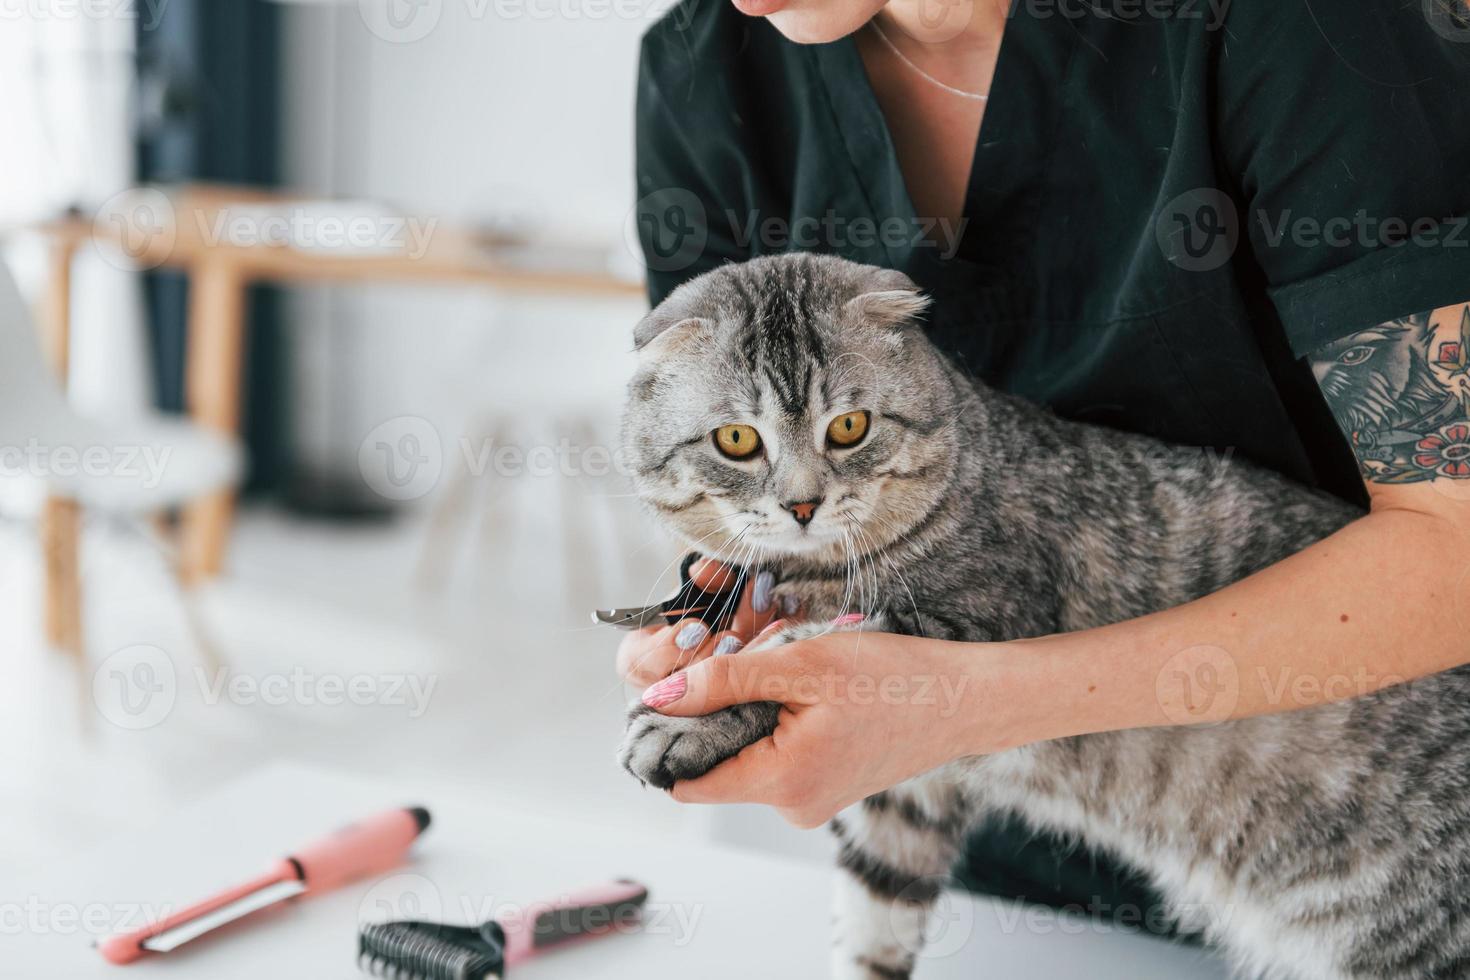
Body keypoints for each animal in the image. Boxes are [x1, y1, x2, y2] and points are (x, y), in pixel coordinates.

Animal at [611, 255, 1470, 980]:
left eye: (849, 428)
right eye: (736, 440)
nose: (801, 504)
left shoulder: (966, 635)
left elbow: (790, 657)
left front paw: (688, 720)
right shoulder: (905, 797)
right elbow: (872, 923)